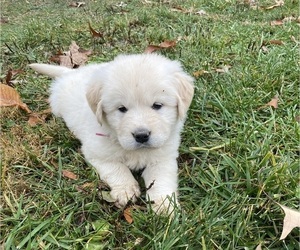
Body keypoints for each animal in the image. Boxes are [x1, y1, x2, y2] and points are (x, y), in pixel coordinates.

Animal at [29, 54, 195, 213]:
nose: (141, 135)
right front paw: (126, 190)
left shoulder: (163, 157)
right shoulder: (97, 153)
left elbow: (161, 180)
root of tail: (71, 72)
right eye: (121, 109)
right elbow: (117, 169)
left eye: (157, 105)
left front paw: (164, 206)